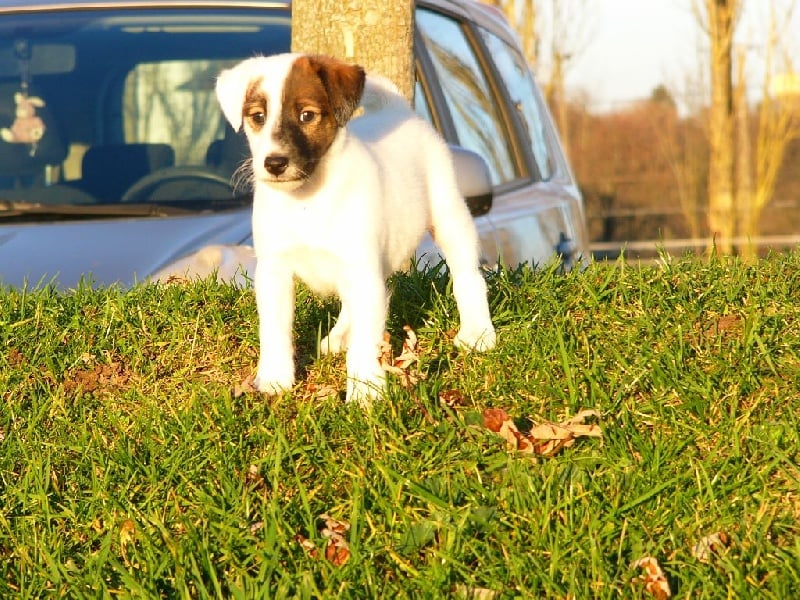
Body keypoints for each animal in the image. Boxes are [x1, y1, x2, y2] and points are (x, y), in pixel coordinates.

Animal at [216, 54, 496, 406]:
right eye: (257, 117)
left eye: (307, 115)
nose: (274, 163)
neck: (307, 200)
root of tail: (398, 110)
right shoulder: (274, 271)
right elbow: (275, 330)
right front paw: (275, 379)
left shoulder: (361, 267)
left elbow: (366, 340)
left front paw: (364, 391)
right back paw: (338, 336)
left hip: (449, 216)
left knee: (468, 278)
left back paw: (478, 333)